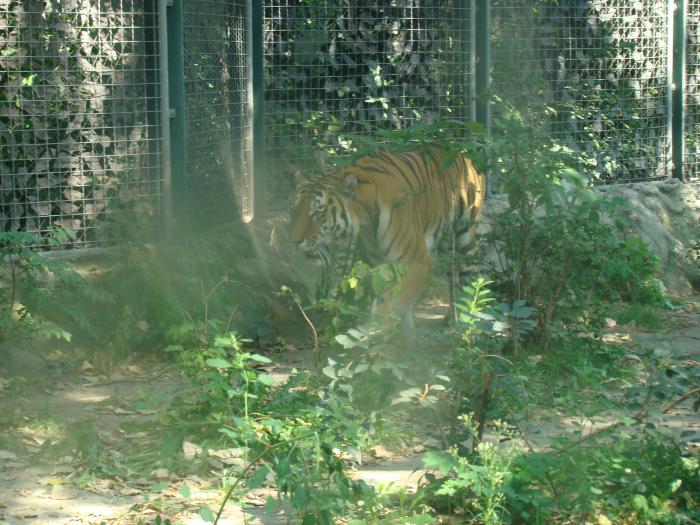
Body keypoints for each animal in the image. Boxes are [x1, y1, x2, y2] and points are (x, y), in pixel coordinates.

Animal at [290, 147, 486, 326]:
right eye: (295, 211)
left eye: (318, 214)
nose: (295, 241)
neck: (365, 219)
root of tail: (463, 152)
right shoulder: (382, 264)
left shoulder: (417, 261)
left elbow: (386, 306)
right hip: (446, 244)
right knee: (452, 275)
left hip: (465, 237)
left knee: (467, 278)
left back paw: (464, 319)